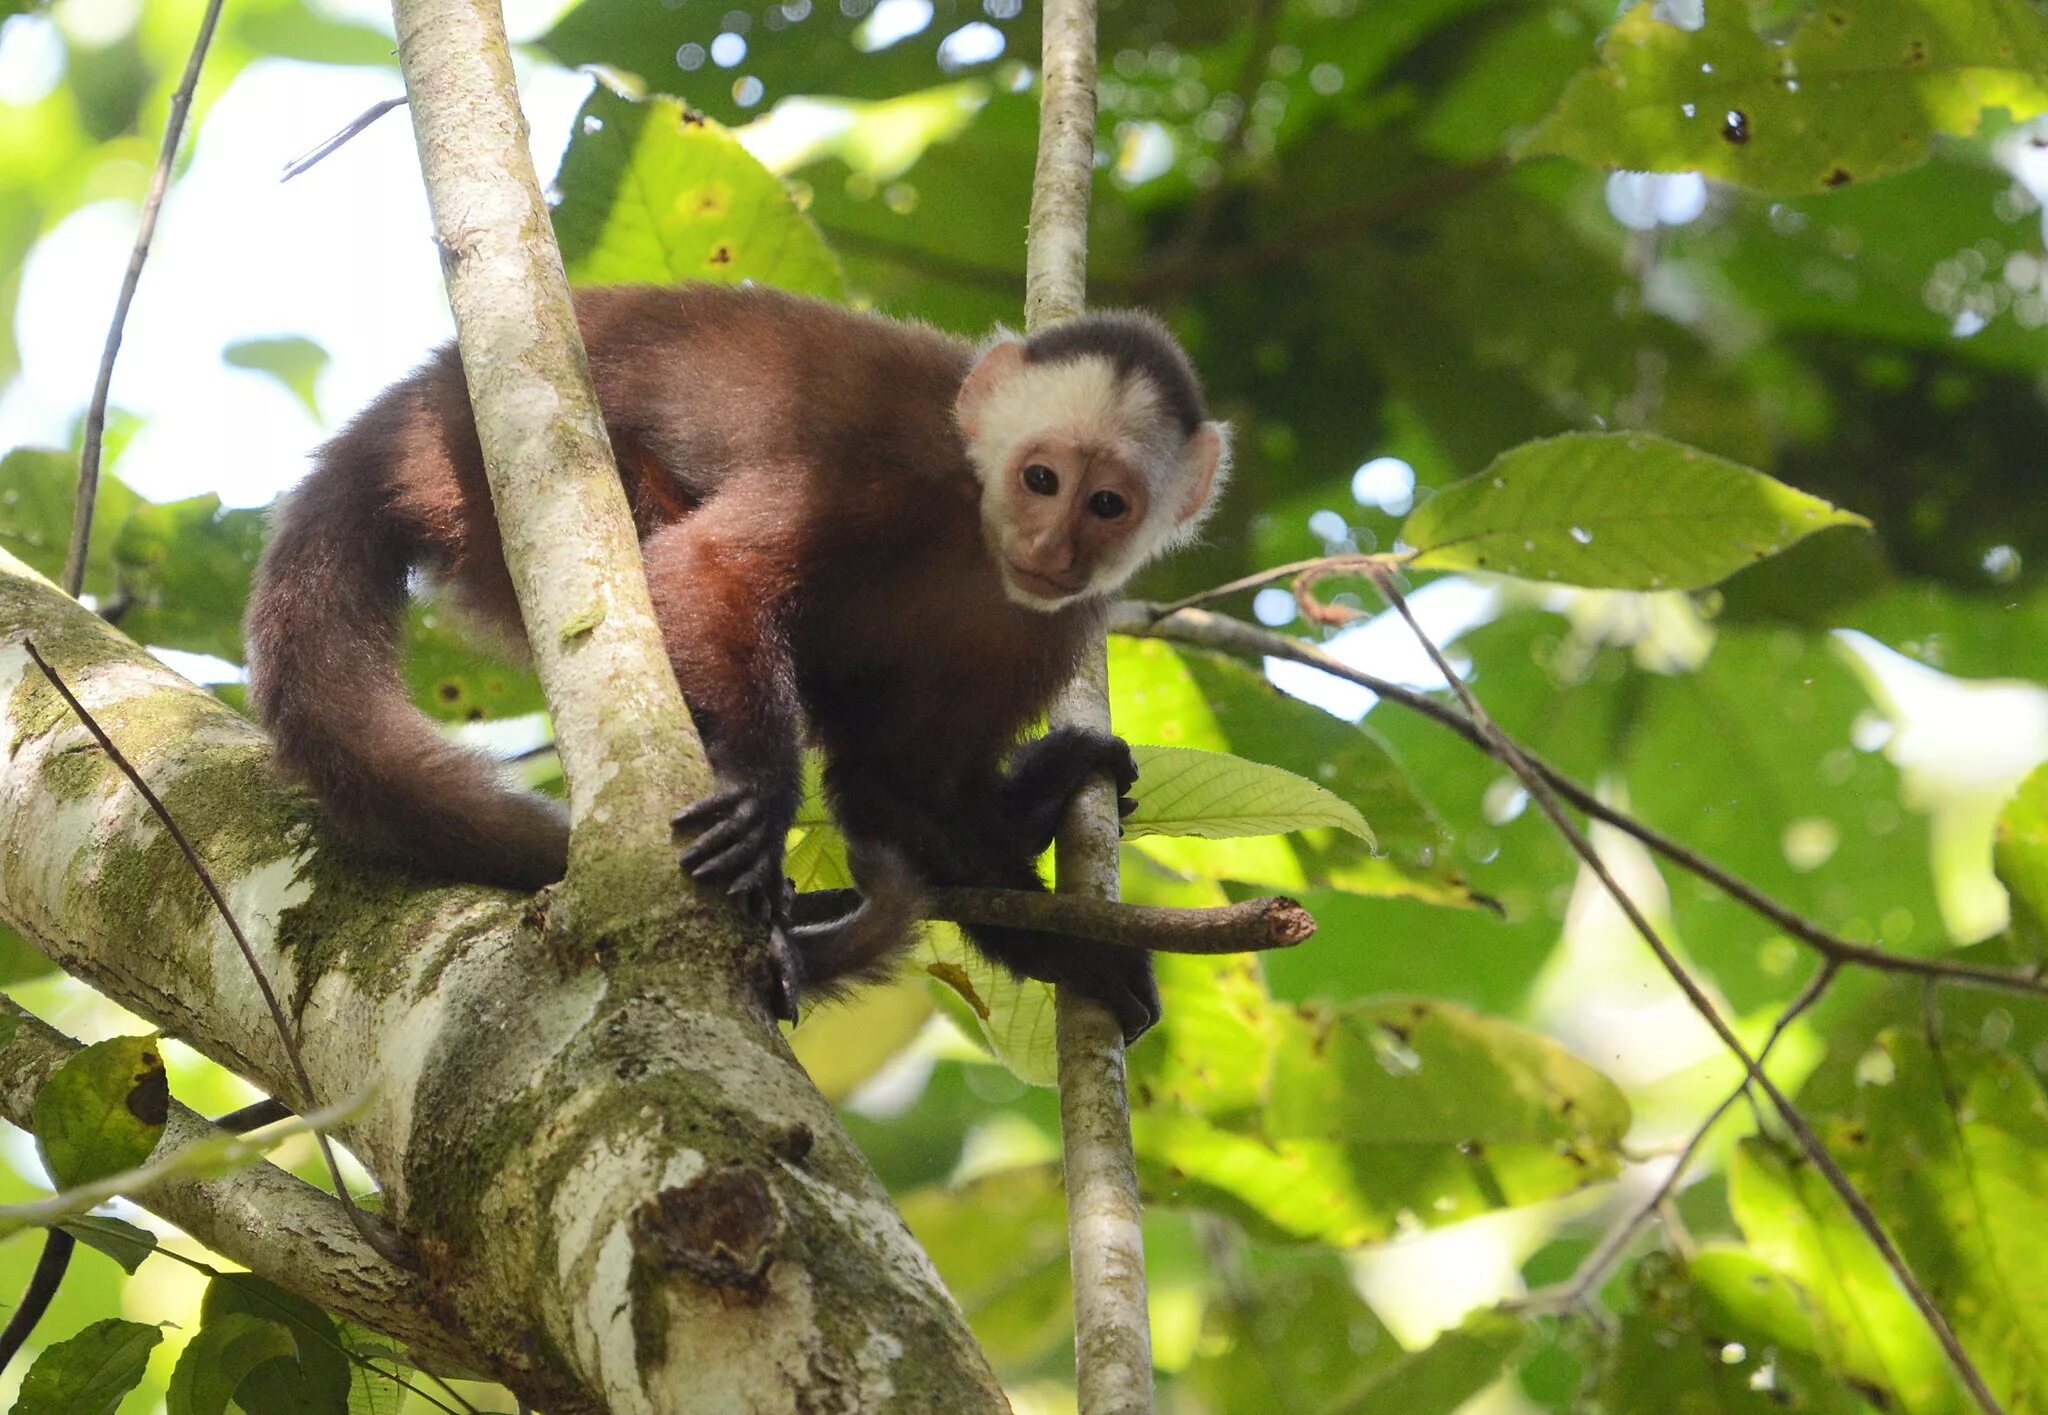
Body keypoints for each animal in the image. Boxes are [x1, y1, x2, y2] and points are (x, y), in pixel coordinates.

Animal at [239, 284, 1228, 1040]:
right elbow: (713, 569)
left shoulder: (1051, 622)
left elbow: (895, 790)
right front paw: (759, 788)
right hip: (487, 473)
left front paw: (1079, 950)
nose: (1054, 547)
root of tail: (416, 397)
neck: (971, 525)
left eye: (1106, 503)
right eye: (1041, 479)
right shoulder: (881, 476)